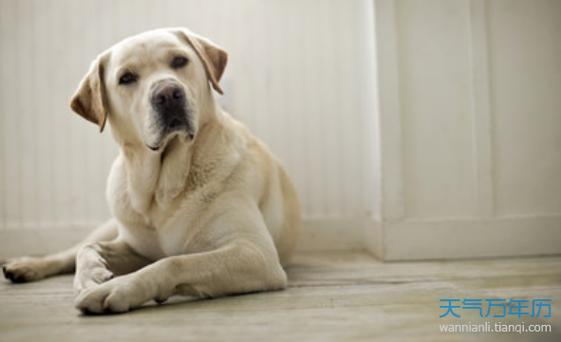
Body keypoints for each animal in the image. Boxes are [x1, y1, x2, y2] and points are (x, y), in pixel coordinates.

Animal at [1, 28, 302, 314]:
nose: (168, 93)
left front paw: (117, 288)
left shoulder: (255, 253)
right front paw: (90, 276)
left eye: (180, 61)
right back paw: (25, 265)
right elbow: (87, 251)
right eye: (126, 78)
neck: (162, 189)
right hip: (110, 226)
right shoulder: (135, 247)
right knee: (73, 250)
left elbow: (173, 262)